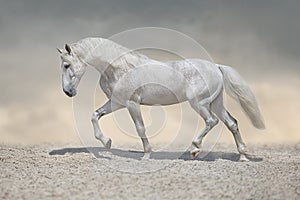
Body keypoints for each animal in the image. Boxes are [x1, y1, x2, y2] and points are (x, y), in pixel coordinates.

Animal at [56, 37, 264, 161]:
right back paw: (243, 156)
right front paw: (106, 142)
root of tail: (217, 67)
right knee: (232, 123)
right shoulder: (117, 103)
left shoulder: (132, 104)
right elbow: (95, 115)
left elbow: (140, 128)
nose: (68, 92)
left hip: (200, 103)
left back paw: (195, 149)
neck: (119, 67)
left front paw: (146, 154)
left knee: (212, 121)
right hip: (216, 102)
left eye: (66, 65)